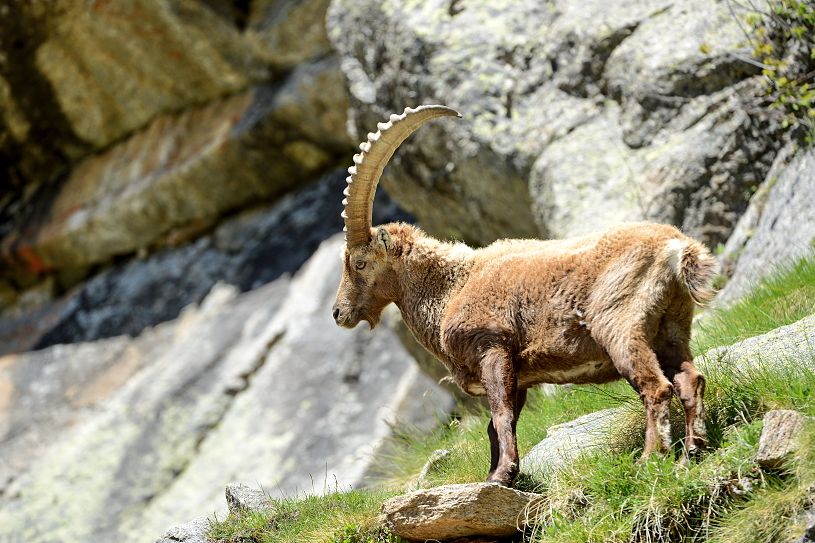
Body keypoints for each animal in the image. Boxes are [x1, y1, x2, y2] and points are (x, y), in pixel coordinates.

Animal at [332, 105, 719, 487]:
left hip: (619, 324)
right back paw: (690, 453)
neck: (451, 288)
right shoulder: (517, 374)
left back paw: (650, 458)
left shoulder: (492, 348)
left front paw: (503, 474)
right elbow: (496, 424)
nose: (338, 312)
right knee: (689, 380)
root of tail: (677, 248)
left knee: (656, 387)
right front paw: (495, 475)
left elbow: (501, 416)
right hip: (671, 327)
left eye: (360, 263)